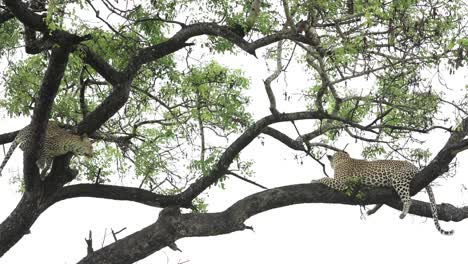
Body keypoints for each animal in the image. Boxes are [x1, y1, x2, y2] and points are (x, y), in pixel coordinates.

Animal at [314, 151, 454, 235]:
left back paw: (403, 213)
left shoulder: (341, 182)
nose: (329, 157)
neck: (344, 159)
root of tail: (415, 167)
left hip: (399, 179)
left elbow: (325, 178)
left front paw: (314, 180)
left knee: (408, 199)